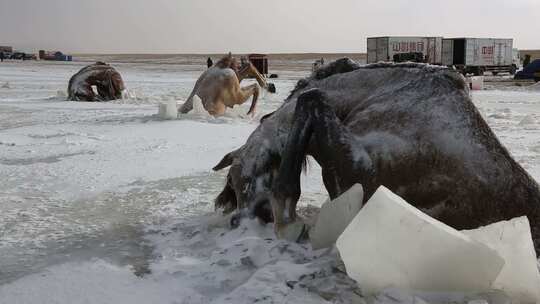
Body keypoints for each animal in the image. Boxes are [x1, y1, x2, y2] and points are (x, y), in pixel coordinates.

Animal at [213, 58, 540, 253]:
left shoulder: (362, 174)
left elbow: (311, 97)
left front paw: (288, 221)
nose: (235, 221)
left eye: (235, 177)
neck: (386, 93)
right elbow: (311, 99)